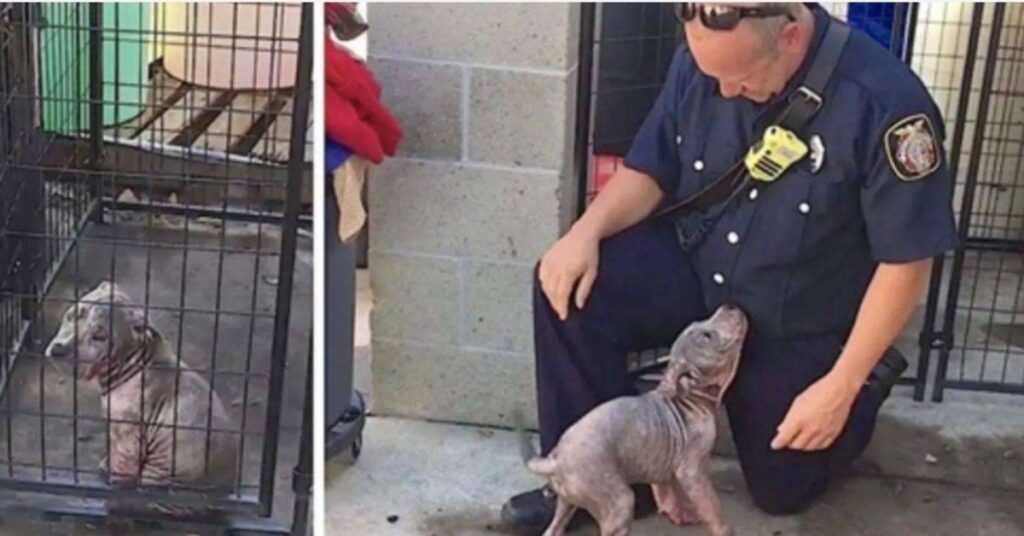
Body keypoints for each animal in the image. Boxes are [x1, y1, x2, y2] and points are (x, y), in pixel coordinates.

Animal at [45, 280, 238, 520]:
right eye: (71, 315)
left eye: (100, 336)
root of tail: (220, 501)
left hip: (163, 478)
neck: (134, 359)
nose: (59, 349)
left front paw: (113, 477)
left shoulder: (128, 434)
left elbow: (121, 461)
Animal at [520, 305, 745, 536]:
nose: (730, 306)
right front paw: (723, 528)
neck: (690, 397)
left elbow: (670, 490)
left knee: (554, 528)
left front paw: (678, 512)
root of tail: (557, 460)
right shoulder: (692, 471)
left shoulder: (669, 465)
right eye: (707, 336)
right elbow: (711, 504)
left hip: (567, 501)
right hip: (618, 502)